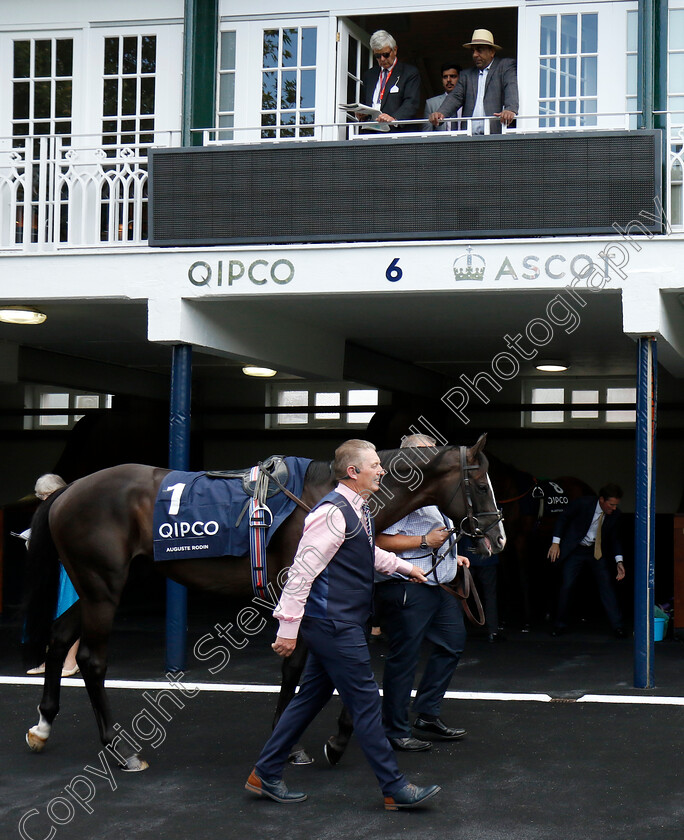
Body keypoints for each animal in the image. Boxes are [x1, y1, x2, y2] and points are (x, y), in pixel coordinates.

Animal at [22, 436, 508, 772]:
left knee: (60, 636)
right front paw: (291, 741)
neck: (320, 496)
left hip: (98, 585)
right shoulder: (301, 588)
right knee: (91, 658)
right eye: (480, 482)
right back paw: (119, 748)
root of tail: (68, 491)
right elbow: (297, 667)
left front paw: (334, 738)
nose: (498, 538)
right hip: (103, 585)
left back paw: (43, 725)